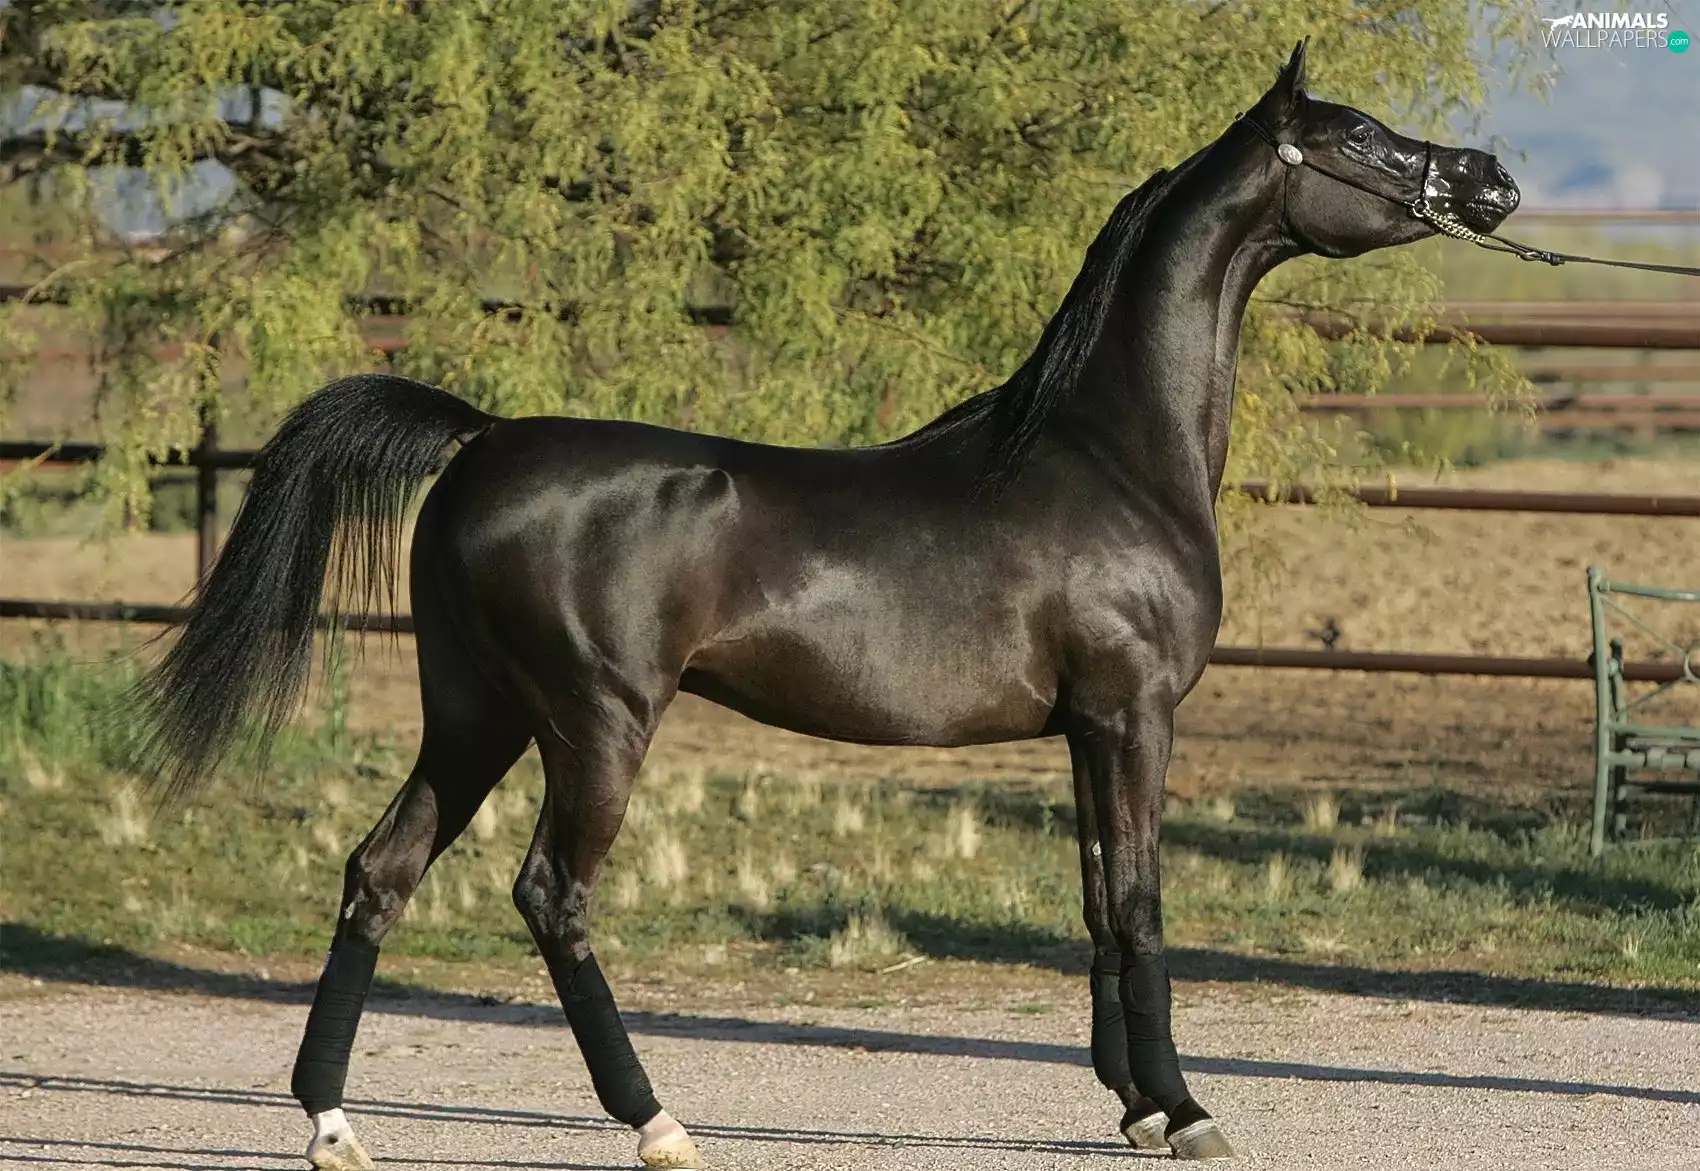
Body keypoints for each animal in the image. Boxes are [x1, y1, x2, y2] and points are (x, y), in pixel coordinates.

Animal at [128, 40, 1520, 1169]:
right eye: (1355, 137)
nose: (1489, 179)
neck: (1107, 451)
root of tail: (482, 440)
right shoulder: (1134, 716)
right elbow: (1139, 901)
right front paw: (1184, 1111)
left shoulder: (1084, 728)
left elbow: (1093, 900)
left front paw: (1130, 1104)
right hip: (592, 723)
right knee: (548, 894)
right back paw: (656, 1121)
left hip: (474, 713)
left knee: (380, 871)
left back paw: (331, 1122)